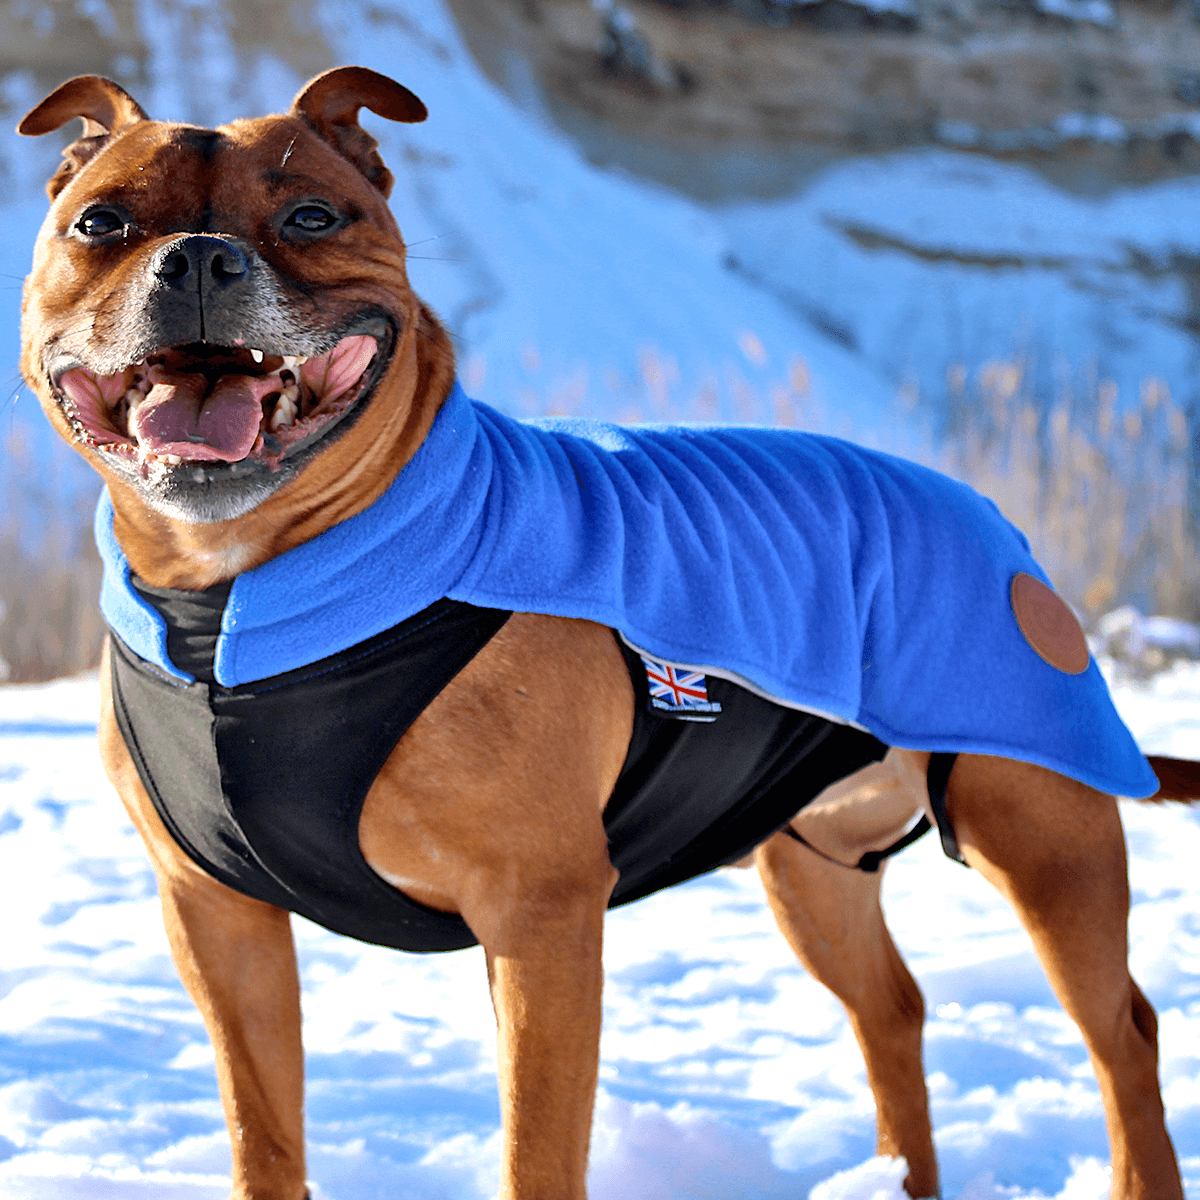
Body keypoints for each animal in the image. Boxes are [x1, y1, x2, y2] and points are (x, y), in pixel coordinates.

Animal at [18, 68, 1200, 1200]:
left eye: (312, 215)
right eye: (101, 223)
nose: (200, 261)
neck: (234, 597)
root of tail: (987, 514)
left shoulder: (538, 915)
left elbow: (536, 1153)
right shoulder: (216, 917)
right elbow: (260, 1132)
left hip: (1042, 829)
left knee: (1120, 1031)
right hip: (811, 864)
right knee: (891, 1013)